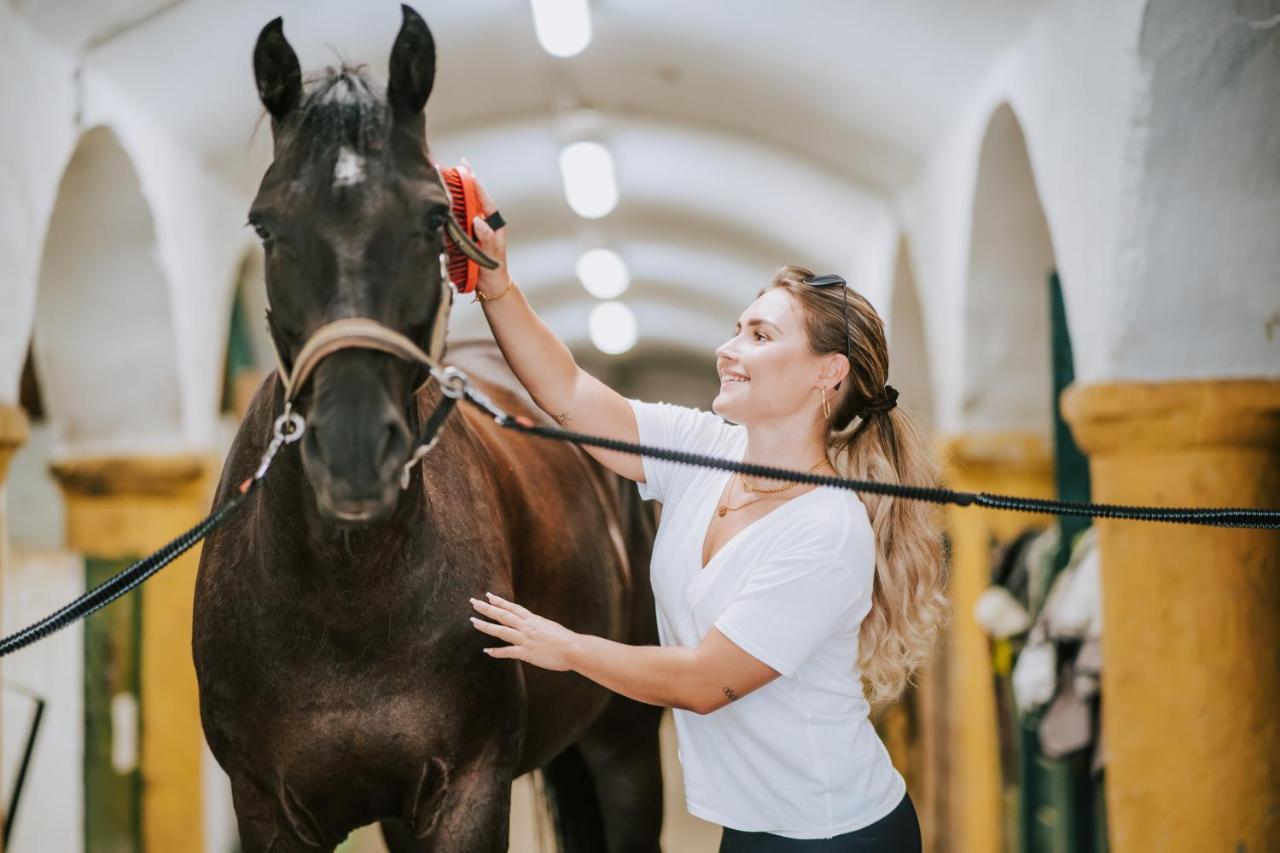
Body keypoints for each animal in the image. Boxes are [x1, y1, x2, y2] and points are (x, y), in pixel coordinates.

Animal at [197, 8, 670, 850]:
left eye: (431, 216)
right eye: (266, 225)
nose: (354, 453)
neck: (345, 594)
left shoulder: (468, 792)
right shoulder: (267, 805)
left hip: (624, 747)